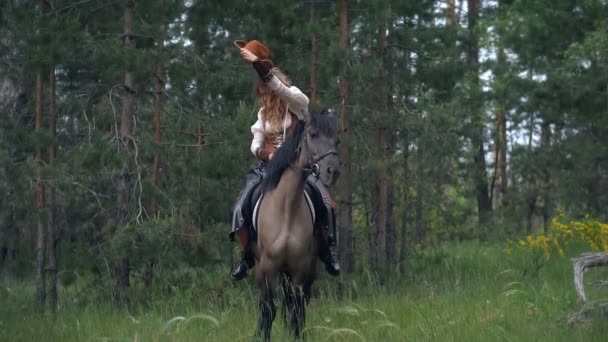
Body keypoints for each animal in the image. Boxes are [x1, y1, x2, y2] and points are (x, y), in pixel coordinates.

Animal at [249, 111, 340, 340]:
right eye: (313, 135)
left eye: (337, 140)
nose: (333, 172)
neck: (286, 207)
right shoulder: (267, 267)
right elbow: (268, 309)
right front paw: (262, 335)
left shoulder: (299, 268)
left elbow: (296, 311)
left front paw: (297, 336)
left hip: (306, 271)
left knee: (297, 305)